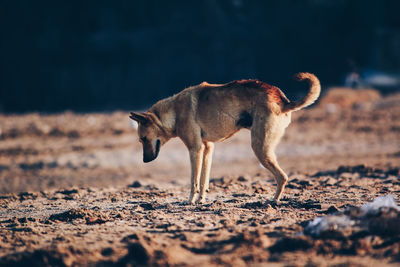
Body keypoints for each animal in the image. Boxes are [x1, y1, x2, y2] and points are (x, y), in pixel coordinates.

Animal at [130, 73, 320, 205]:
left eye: (143, 139)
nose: (145, 161)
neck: (174, 112)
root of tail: (282, 100)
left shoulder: (195, 149)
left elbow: (193, 181)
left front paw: (190, 201)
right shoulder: (207, 148)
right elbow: (203, 179)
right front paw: (201, 200)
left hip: (260, 149)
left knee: (283, 177)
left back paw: (273, 201)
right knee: (282, 177)